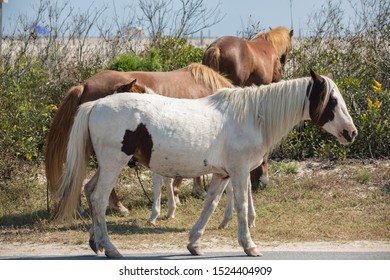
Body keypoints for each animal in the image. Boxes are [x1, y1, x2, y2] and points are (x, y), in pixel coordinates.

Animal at [52, 69, 356, 258]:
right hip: (113, 165)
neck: (251, 116)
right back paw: (111, 247)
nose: (351, 132)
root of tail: (95, 104)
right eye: (332, 100)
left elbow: (210, 206)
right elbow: (241, 206)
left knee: (89, 191)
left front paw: (194, 243)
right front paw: (249, 246)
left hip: (106, 166)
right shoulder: (239, 172)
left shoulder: (222, 175)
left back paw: (96, 243)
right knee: (99, 198)